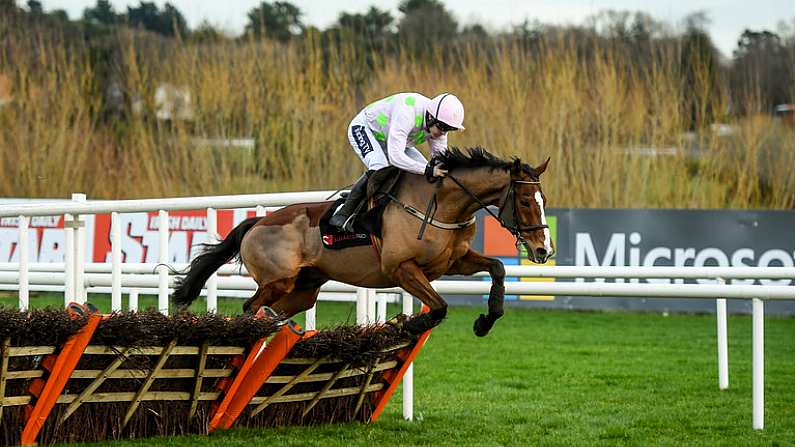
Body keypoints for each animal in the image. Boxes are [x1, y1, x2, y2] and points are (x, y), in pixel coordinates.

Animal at [173, 148, 552, 336]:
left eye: (543, 198)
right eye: (524, 201)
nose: (543, 250)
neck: (439, 203)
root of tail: (257, 222)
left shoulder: (453, 262)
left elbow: (498, 267)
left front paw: (486, 321)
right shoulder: (402, 269)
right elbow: (440, 306)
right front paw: (404, 323)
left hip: (303, 289)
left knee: (270, 312)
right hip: (277, 281)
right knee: (250, 308)